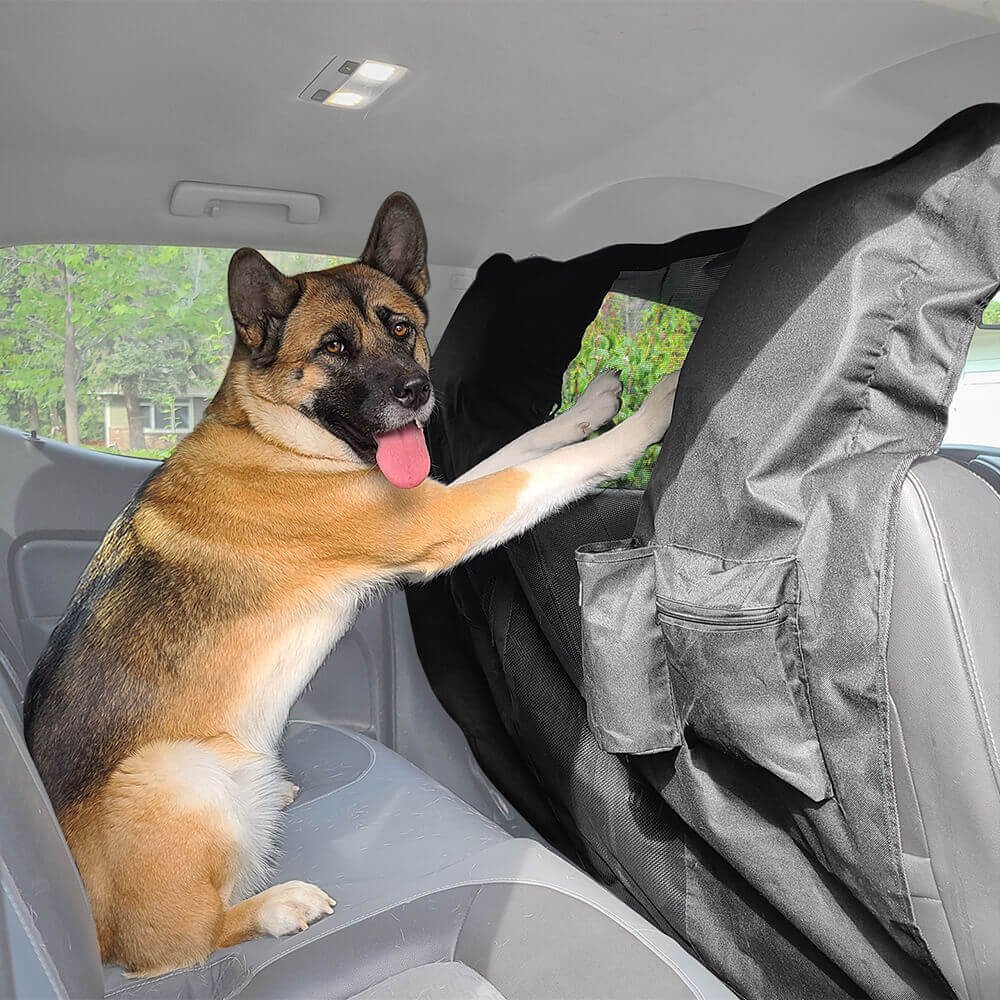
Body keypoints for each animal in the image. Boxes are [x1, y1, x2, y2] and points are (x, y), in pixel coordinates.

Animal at [23, 193, 680, 976]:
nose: (418, 392)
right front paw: (656, 411)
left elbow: (522, 449)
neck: (270, 433)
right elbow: (544, 470)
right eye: (333, 348)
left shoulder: (431, 495)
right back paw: (274, 907)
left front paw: (592, 405)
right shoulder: (439, 519)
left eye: (401, 327)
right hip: (177, 774)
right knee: (178, 944)